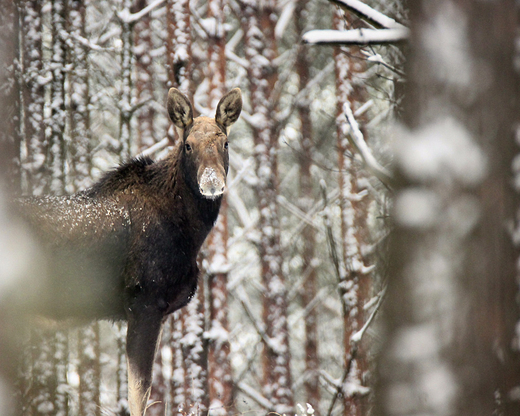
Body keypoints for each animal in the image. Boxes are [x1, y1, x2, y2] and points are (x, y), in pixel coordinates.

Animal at [9, 88, 242, 416]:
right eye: (187, 145)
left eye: (225, 143)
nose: (211, 183)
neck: (190, 233)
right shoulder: (144, 301)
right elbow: (138, 395)